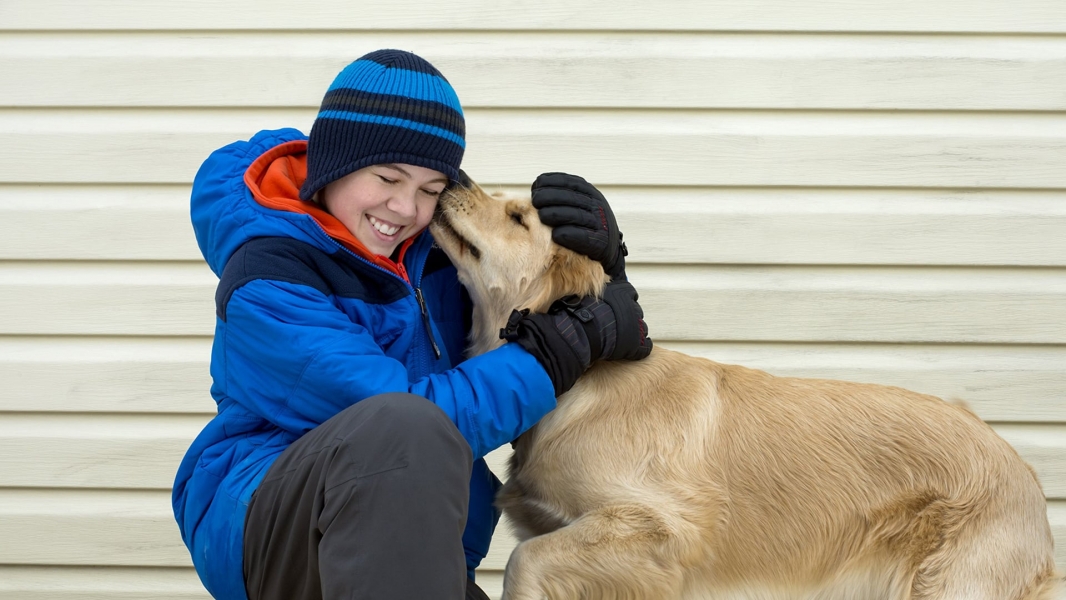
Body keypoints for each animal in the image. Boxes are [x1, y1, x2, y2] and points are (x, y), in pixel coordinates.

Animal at [428, 180, 1061, 600]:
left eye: (516, 217)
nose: (453, 178)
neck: (580, 380)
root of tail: (1023, 470)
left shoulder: (664, 530)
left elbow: (523, 561)